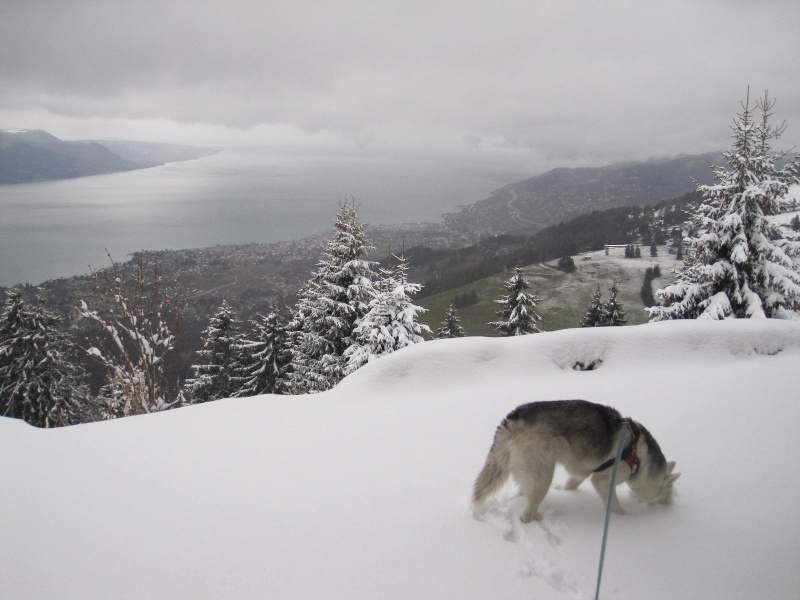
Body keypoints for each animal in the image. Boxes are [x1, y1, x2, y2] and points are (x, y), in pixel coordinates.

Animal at [472, 400, 680, 524]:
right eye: (668, 492)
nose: (670, 505)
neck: (639, 456)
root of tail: (512, 419)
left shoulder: (583, 473)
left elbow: (571, 485)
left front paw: (564, 491)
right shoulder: (603, 480)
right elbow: (615, 506)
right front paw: (624, 517)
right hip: (542, 477)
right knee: (526, 514)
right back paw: (537, 519)